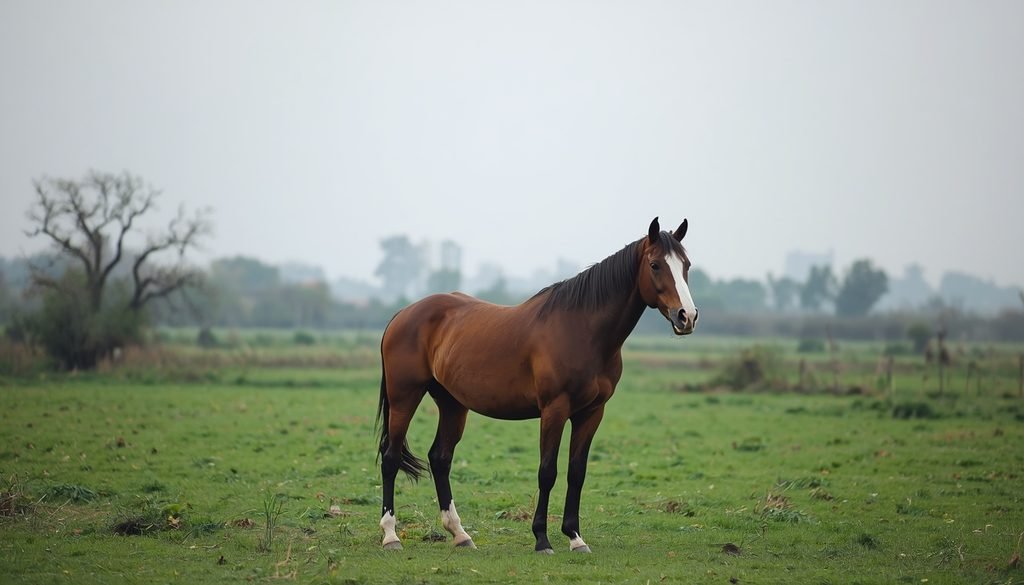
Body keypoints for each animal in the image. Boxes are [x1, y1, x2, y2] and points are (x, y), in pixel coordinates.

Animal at [376, 217, 698, 553]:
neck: (582, 331)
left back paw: (460, 534)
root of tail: (403, 313)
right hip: (404, 398)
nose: (686, 316)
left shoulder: (592, 413)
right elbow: (548, 472)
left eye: (686, 265)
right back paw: (391, 536)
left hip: (452, 404)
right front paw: (542, 539)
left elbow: (576, 472)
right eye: (655, 265)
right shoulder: (554, 409)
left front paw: (575, 537)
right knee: (390, 458)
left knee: (440, 458)